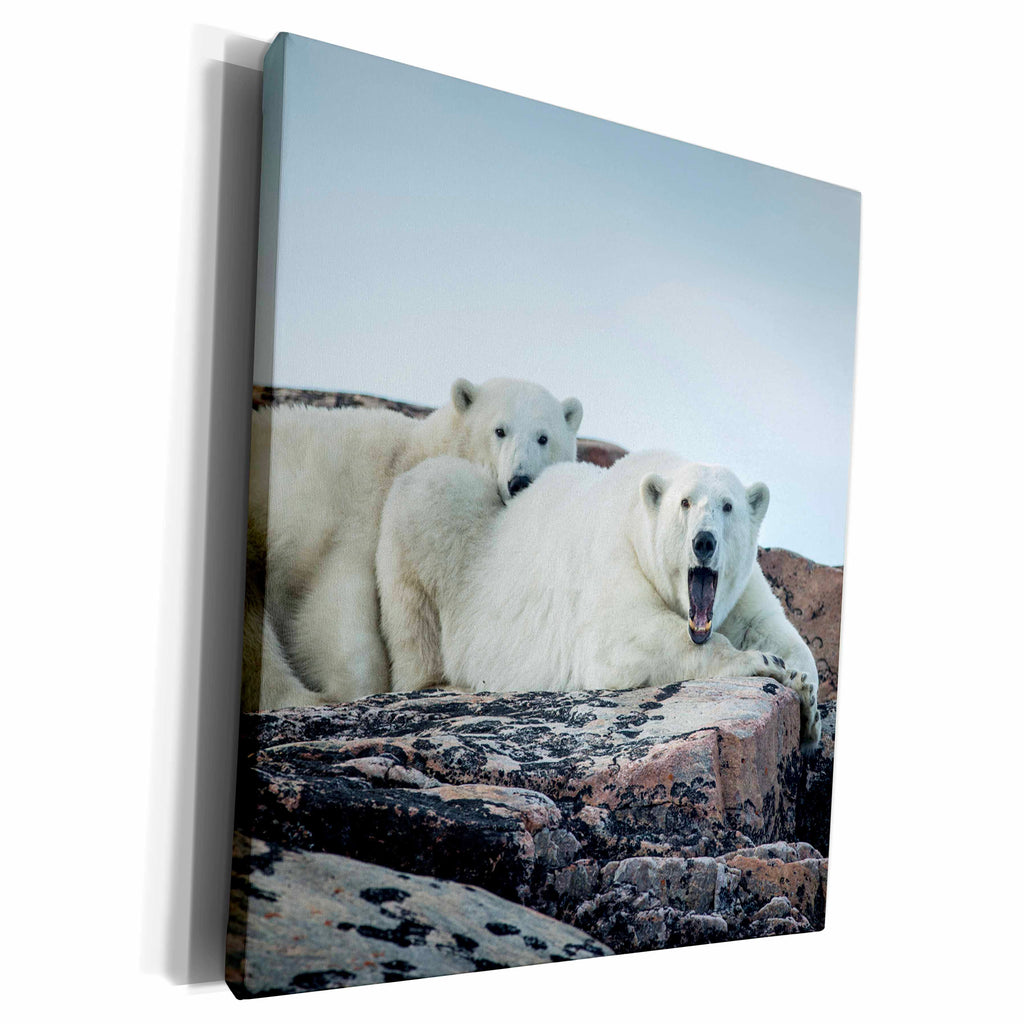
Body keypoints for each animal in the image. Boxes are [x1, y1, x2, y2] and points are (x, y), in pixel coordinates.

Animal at [243, 378, 584, 712]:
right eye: (499, 430)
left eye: (543, 437)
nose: (519, 481)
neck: (408, 456)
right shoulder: (356, 522)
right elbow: (336, 601)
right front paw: (352, 689)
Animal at [376, 451, 821, 754]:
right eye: (685, 502)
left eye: (728, 506)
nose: (704, 541)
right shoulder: (616, 555)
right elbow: (622, 636)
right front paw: (765, 664)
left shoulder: (743, 589)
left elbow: (773, 630)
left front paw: (808, 702)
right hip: (434, 536)